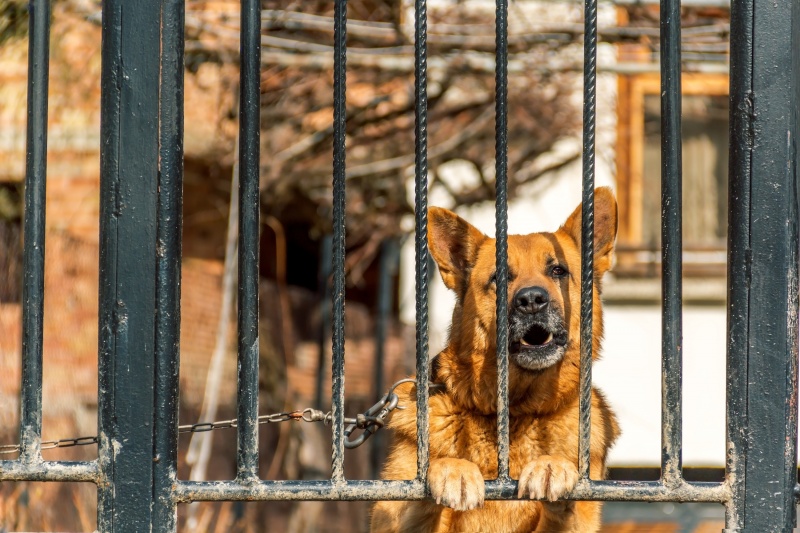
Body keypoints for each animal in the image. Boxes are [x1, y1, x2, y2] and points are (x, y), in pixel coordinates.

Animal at [372, 188, 620, 532]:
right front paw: (452, 468)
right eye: (499, 278)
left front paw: (551, 465)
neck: (516, 412)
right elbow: (420, 498)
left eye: (558, 270)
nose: (531, 301)